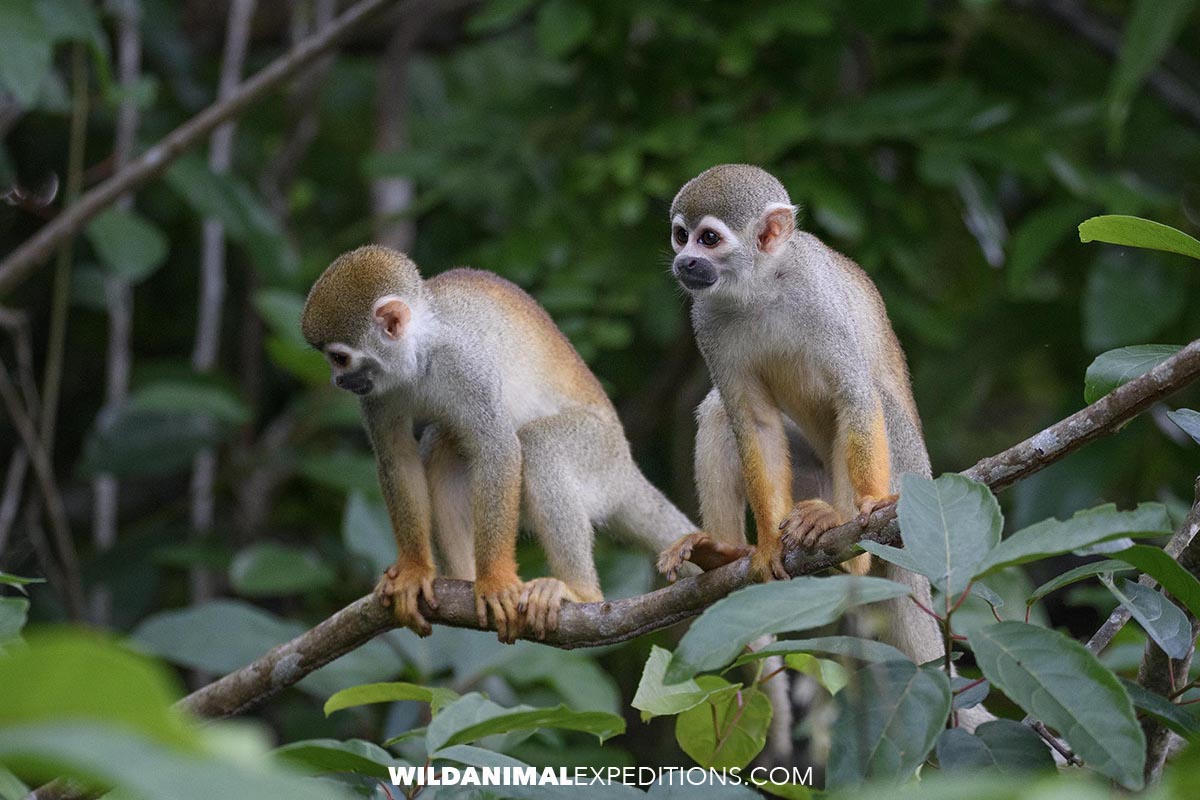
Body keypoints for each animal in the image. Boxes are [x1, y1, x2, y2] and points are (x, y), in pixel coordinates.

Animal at [300, 246, 700, 642]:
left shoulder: (465, 364)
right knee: (442, 445)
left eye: (339, 358)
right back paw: (462, 576)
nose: (338, 381)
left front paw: (494, 580)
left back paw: (579, 592)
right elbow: (397, 458)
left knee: (538, 445)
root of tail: (626, 466)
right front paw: (414, 569)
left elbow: (499, 449)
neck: (419, 356)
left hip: (601, 456)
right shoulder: (376, 393)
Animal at [654, 163, 951, 671]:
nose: (685, 262)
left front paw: (868, 502)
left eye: (708, 239)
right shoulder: (705, 319)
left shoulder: (819, 297)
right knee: (718, 413)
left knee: (872, 401)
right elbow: (753, 422)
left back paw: (842, 531)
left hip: (910, 477)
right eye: (680, 236)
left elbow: (854, 395)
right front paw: (767, 547)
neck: (761, 285)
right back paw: (720, 552)